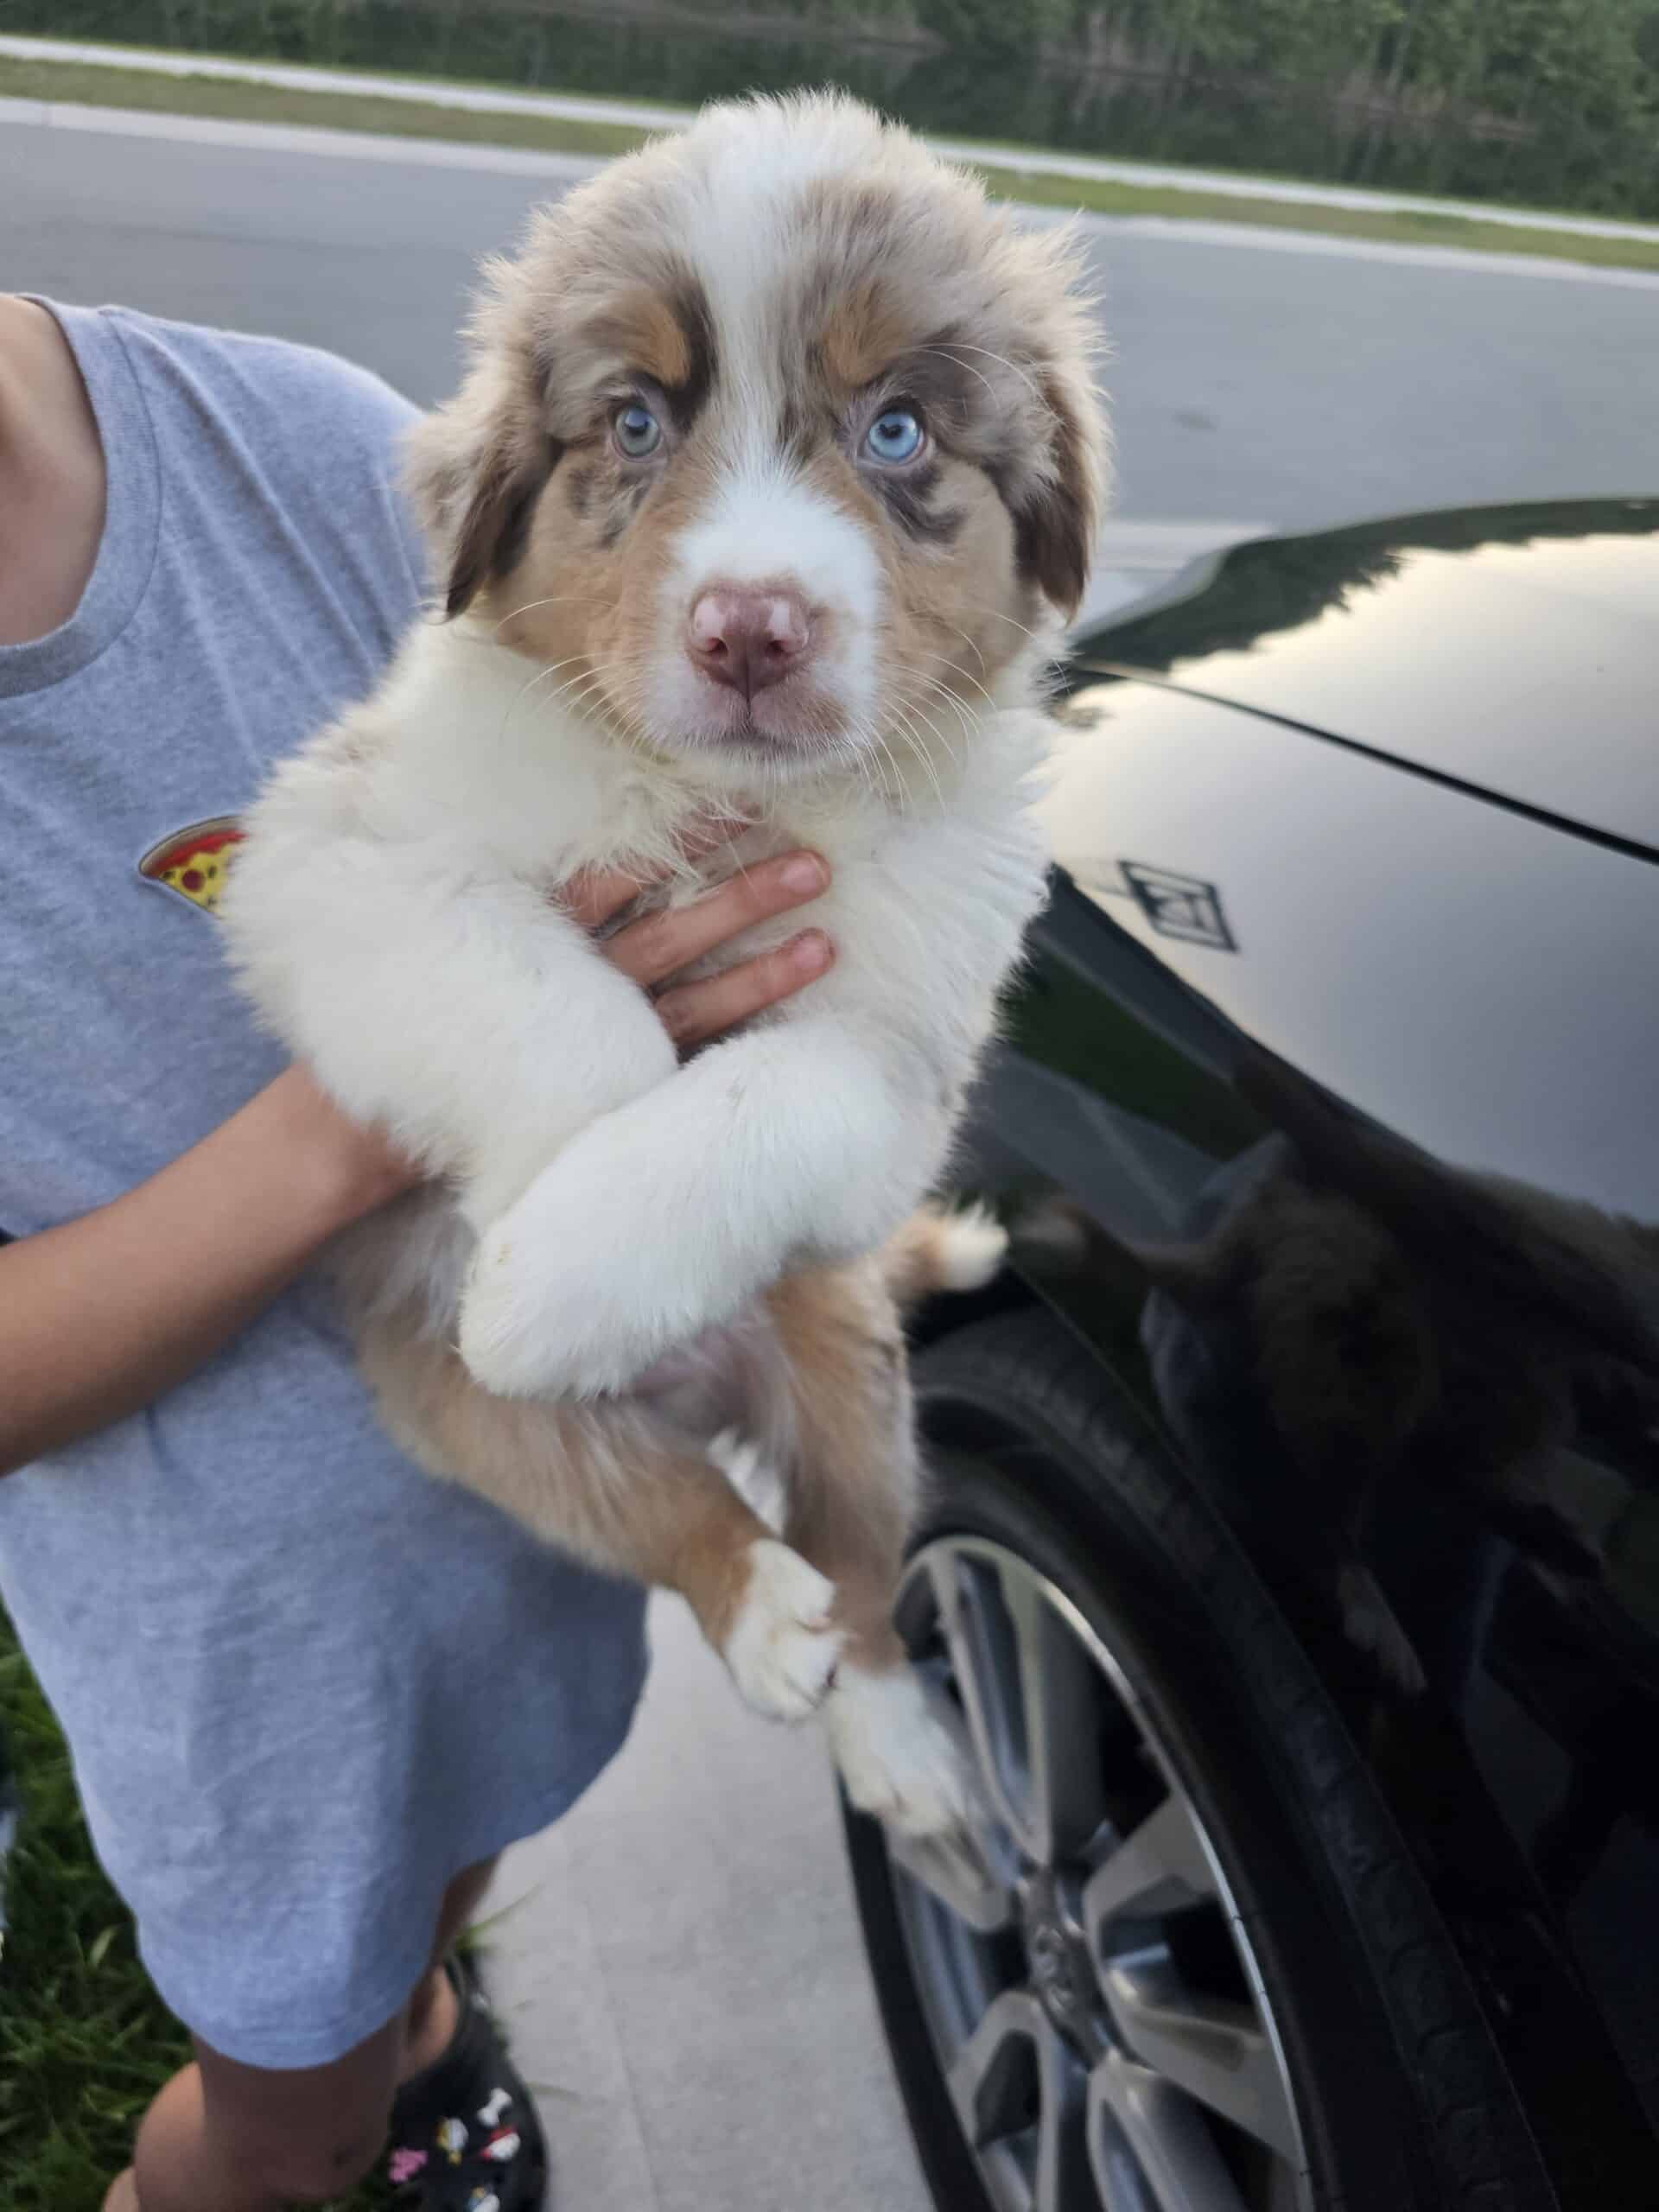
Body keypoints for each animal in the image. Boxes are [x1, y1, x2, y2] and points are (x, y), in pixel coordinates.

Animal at [221, 95, 1106, 1840]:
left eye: (897, 432)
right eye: (633, 424)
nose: (750, 629)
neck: (716, 802)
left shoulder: (910, 1043)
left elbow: (782, 1090)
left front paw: (570, 1265)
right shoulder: (335, 857)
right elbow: (583, 1031)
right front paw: (540, 1259)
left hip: (853, 1366)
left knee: (862, 1572)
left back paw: (896, 1744)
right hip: (458, 1418)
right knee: (663, 1507)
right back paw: (744, 1596)